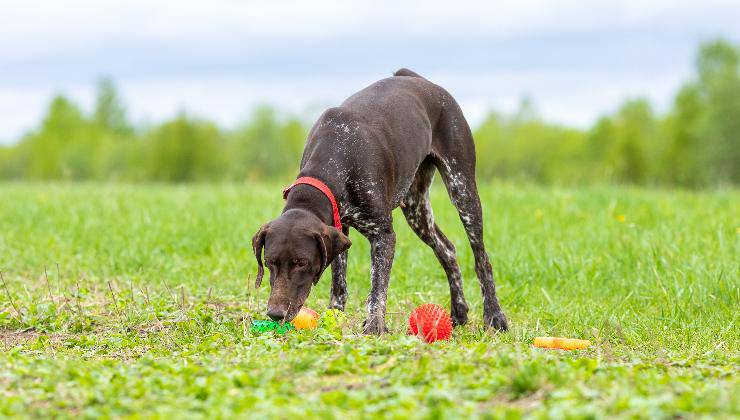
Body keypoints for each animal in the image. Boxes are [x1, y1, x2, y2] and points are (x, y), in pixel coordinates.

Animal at [253, 67, 508, 334]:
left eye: (301, 262)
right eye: (269, 262)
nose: (275, 314)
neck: (335, 158)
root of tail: (421, 80)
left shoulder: (383, 235)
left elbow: (377, 290)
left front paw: (374, 326)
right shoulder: (339, 228)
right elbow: (339, 284)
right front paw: (335, 318)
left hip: (463, 190)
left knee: (481, 259)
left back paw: (494, 316)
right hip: (416, 210)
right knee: (447, 250)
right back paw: (458, 312)